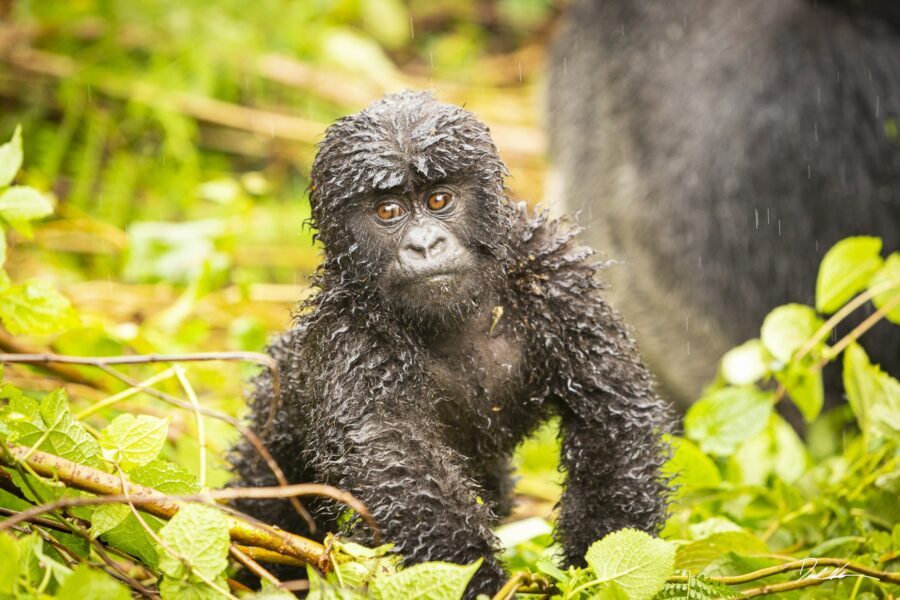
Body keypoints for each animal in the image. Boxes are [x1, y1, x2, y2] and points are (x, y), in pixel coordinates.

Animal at [229, 91, 672, 592]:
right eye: (388, 211)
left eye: (439, 199)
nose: (425, 244)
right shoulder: (351, 333)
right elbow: (398, 459)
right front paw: (480, 581)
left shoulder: (556, 278)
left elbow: (608, 415)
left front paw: (592, 573)